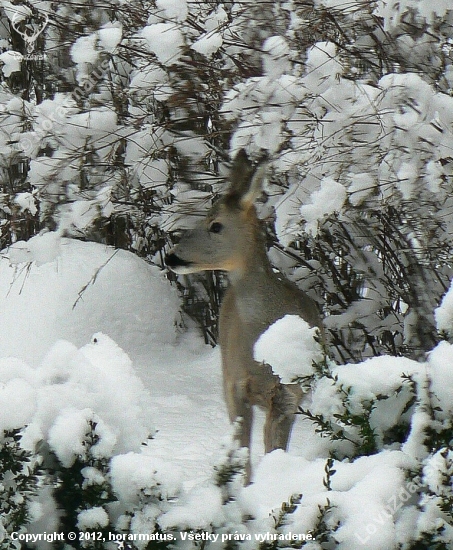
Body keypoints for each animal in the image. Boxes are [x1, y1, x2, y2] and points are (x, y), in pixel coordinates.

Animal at [164, 151, 324, 484]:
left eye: (216, 225)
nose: (171, 256)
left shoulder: (288, 394)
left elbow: (274, 449)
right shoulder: (234, 385)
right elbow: (244, 451)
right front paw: (247, 489)